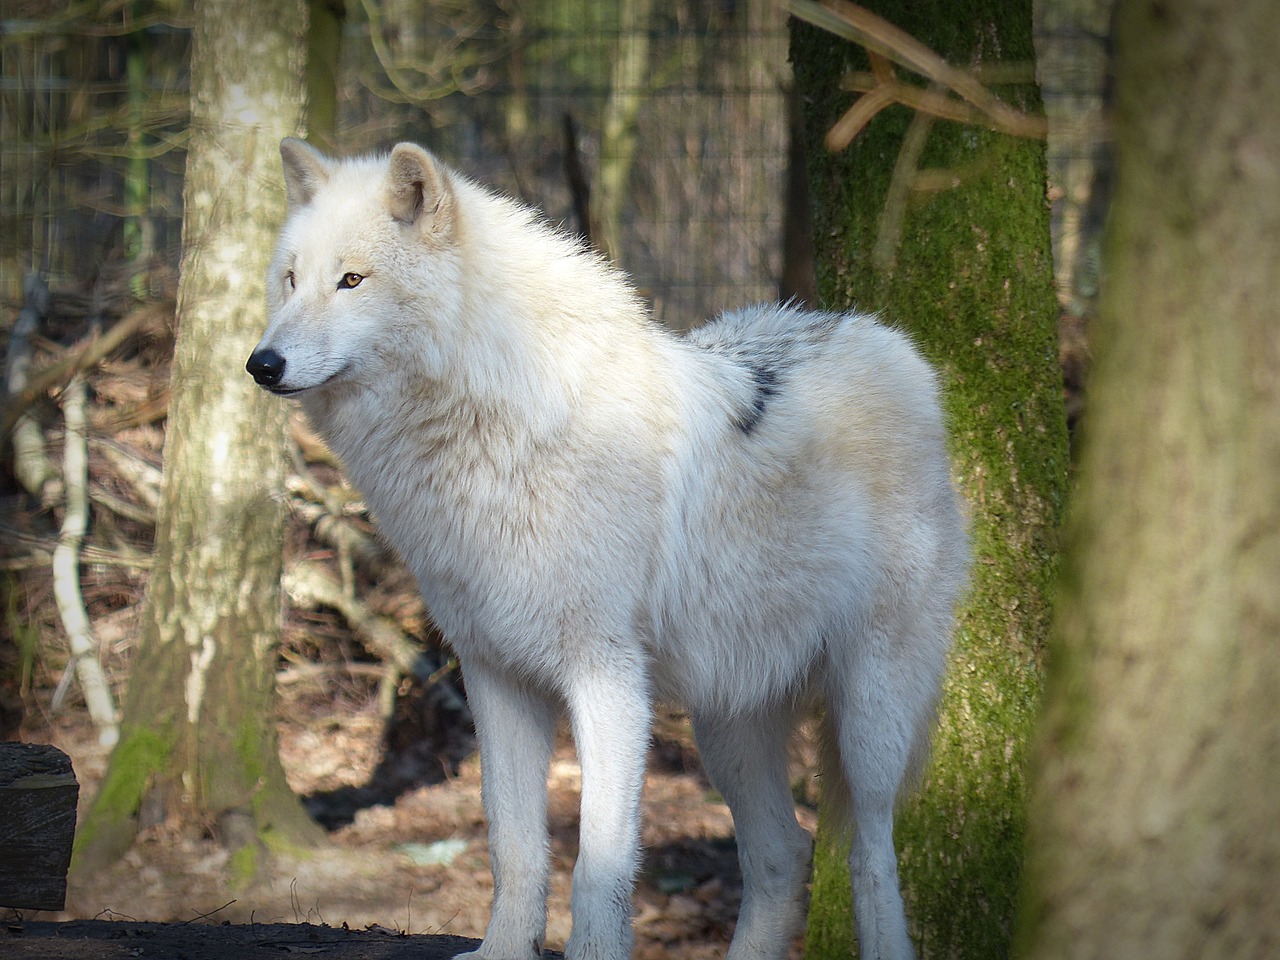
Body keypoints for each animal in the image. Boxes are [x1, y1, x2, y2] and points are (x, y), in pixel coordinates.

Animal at [247, 138, 967, 960]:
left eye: (353, 280)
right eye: (291, 279)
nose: (261, 363)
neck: (493, 430)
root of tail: (883, 339)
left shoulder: (607, 676)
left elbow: (599, 861)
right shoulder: (493, 673)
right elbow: (514, 845)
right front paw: (501, 951)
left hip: (868, 715)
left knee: (870, 853)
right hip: (730, 725)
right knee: (784, 859)